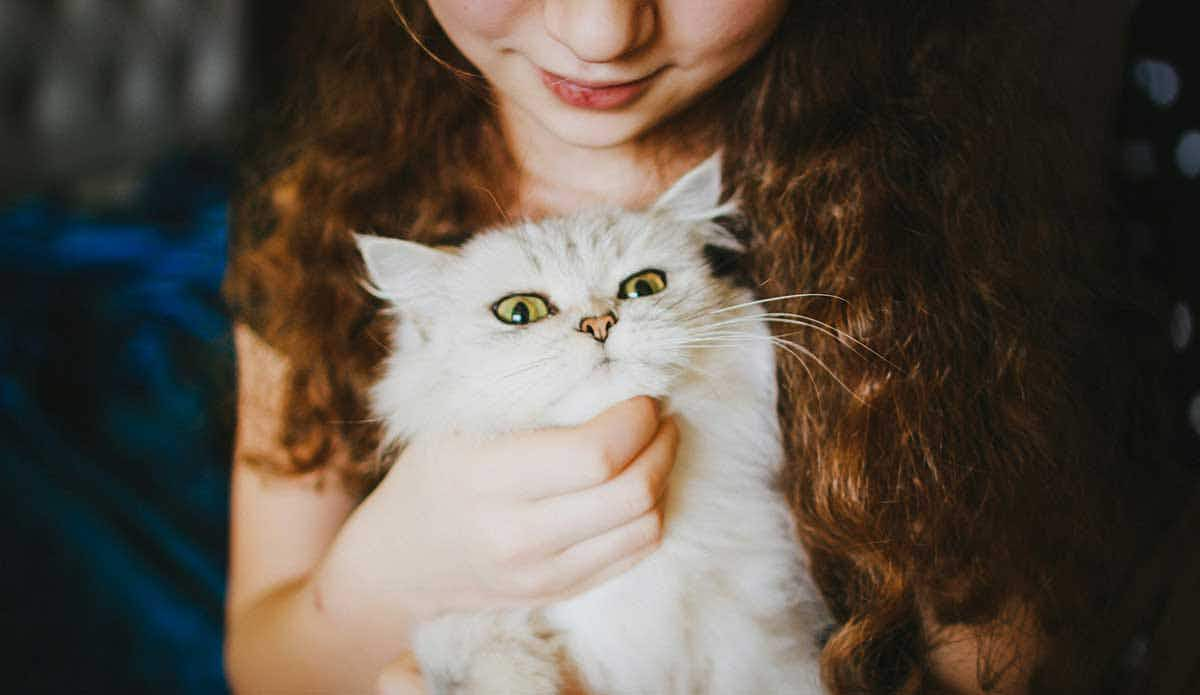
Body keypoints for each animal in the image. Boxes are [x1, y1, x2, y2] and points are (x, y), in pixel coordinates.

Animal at [350, 157, 830, 695]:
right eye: (519, 312)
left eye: (643, 287)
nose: (600, 324)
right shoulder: (458, 626)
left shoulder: (757, 634)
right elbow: (497, 663)